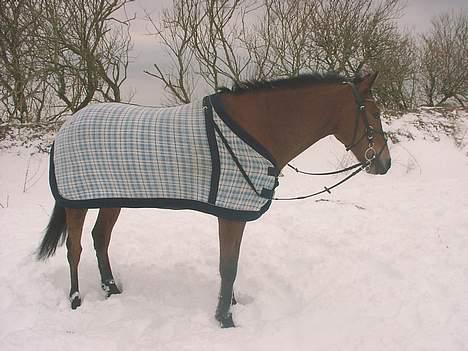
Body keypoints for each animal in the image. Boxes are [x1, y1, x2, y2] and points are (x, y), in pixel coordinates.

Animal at [36, 70, 390, 328]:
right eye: (373, 112)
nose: (384, 164)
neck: (257, 128)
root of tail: (66, 126)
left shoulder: (235, 212)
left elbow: (231, 262)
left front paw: (230, 305)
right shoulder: (230, 214)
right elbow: (228, 265)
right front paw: (225, 319)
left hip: (112, 197)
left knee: (100, 238)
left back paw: (111, 289)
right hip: (76, 203)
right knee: (75, 248)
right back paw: (76, 299)